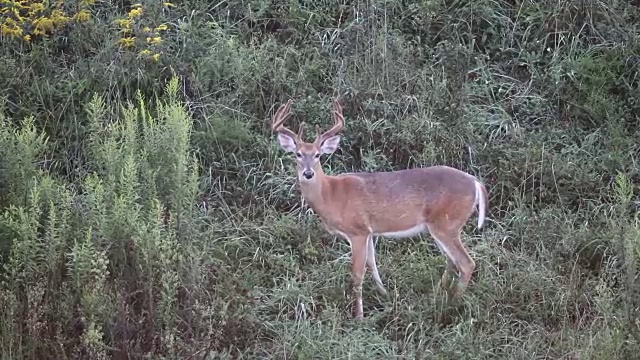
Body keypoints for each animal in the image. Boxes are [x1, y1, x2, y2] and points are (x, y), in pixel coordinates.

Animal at [272, 97, 490, 318]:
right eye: (298, 154)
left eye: (317, 155)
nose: (308, 174)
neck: (331, 194)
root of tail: (476, 183)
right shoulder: (369, 231)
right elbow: (372, 264)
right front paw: (385, 294)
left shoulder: (357, 231)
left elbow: (358, 273)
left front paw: (359, 316)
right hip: (438, 227)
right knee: (451, 261)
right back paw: (436, 295)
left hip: (447, 224)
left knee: (466, 263)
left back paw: (454, 304)